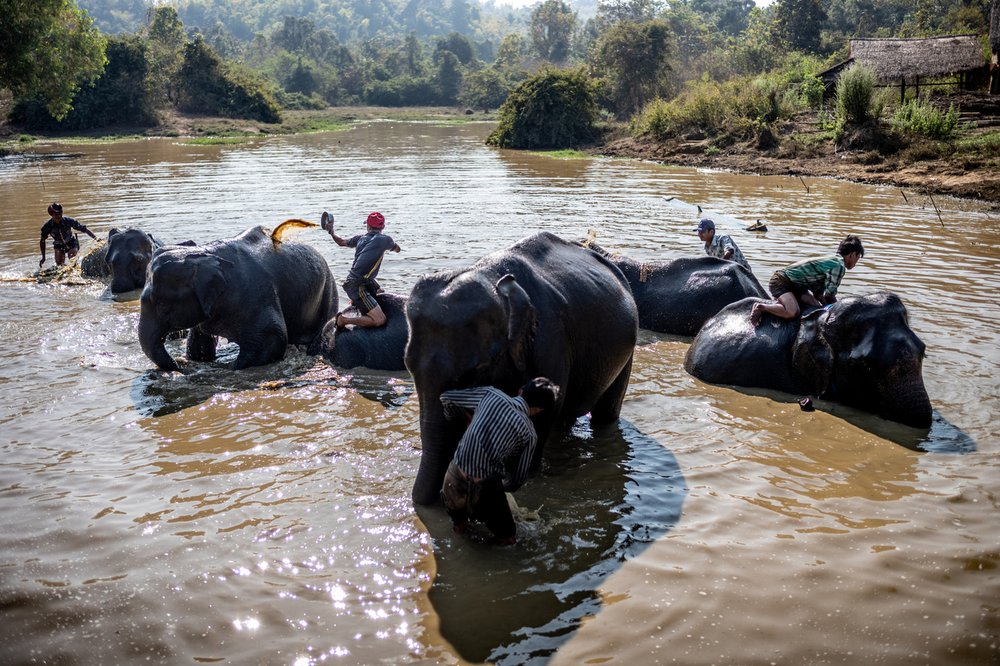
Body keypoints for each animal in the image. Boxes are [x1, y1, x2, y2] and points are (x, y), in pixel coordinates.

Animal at [137, 220, 340, 370]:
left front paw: (231, 367)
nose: (179, 366)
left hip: (329, 291)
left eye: (162, 305)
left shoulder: (257, 295)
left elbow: (272, 337)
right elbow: (199, 345)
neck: (205, 254)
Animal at [406, 231, 640, 500]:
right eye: (408, 366)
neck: (493, 279)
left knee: (605, 413)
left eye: (475, 371)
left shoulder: (550, 341)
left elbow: (544, 412)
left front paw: (523, 478)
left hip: (627, 351)